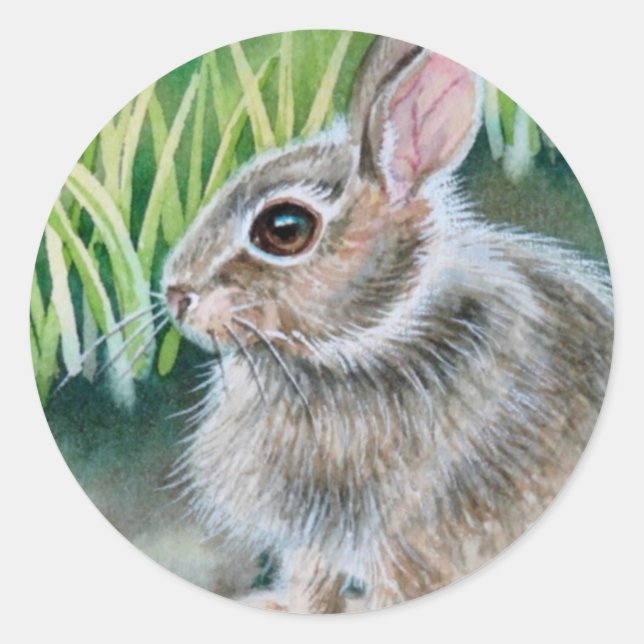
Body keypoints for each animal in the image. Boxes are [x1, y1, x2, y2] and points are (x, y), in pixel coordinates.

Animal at [161, 36, 613, 613]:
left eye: (284, 228)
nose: (176, 295)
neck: (367, 344)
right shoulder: (318, 539)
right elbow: (312, 576)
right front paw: (283, 606)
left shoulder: (414, 539)